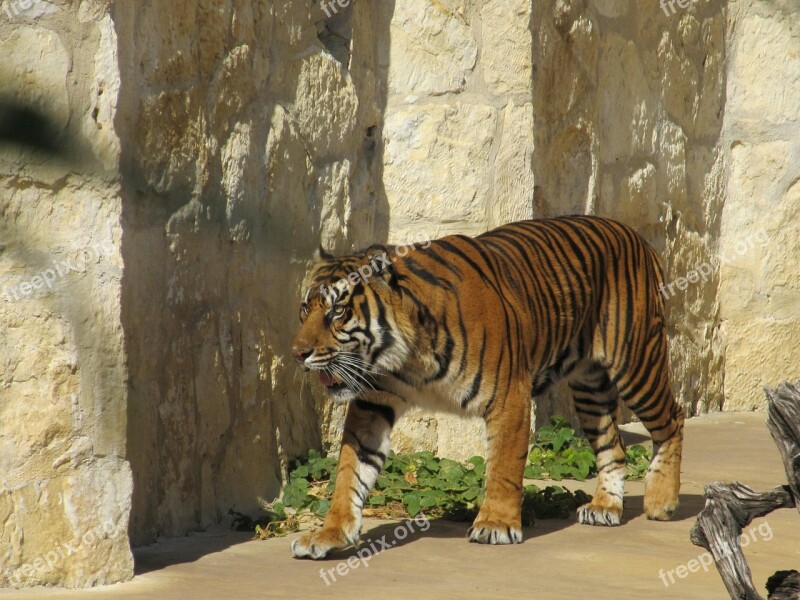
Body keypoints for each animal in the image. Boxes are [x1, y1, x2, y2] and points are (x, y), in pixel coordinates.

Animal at [290, 214, 684, 556]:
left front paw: (495, 524)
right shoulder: (372, 404)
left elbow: (504, 466)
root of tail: (633, 233)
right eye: (304, 309)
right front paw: (330, 534)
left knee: (672, 418)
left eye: (337, 311)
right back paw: (605, 506)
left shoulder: (510, 395)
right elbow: (349, 472)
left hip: (636, 364)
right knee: (612, 446)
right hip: (590, 389)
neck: (407, 359)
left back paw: (662, 501)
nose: (297, 353)